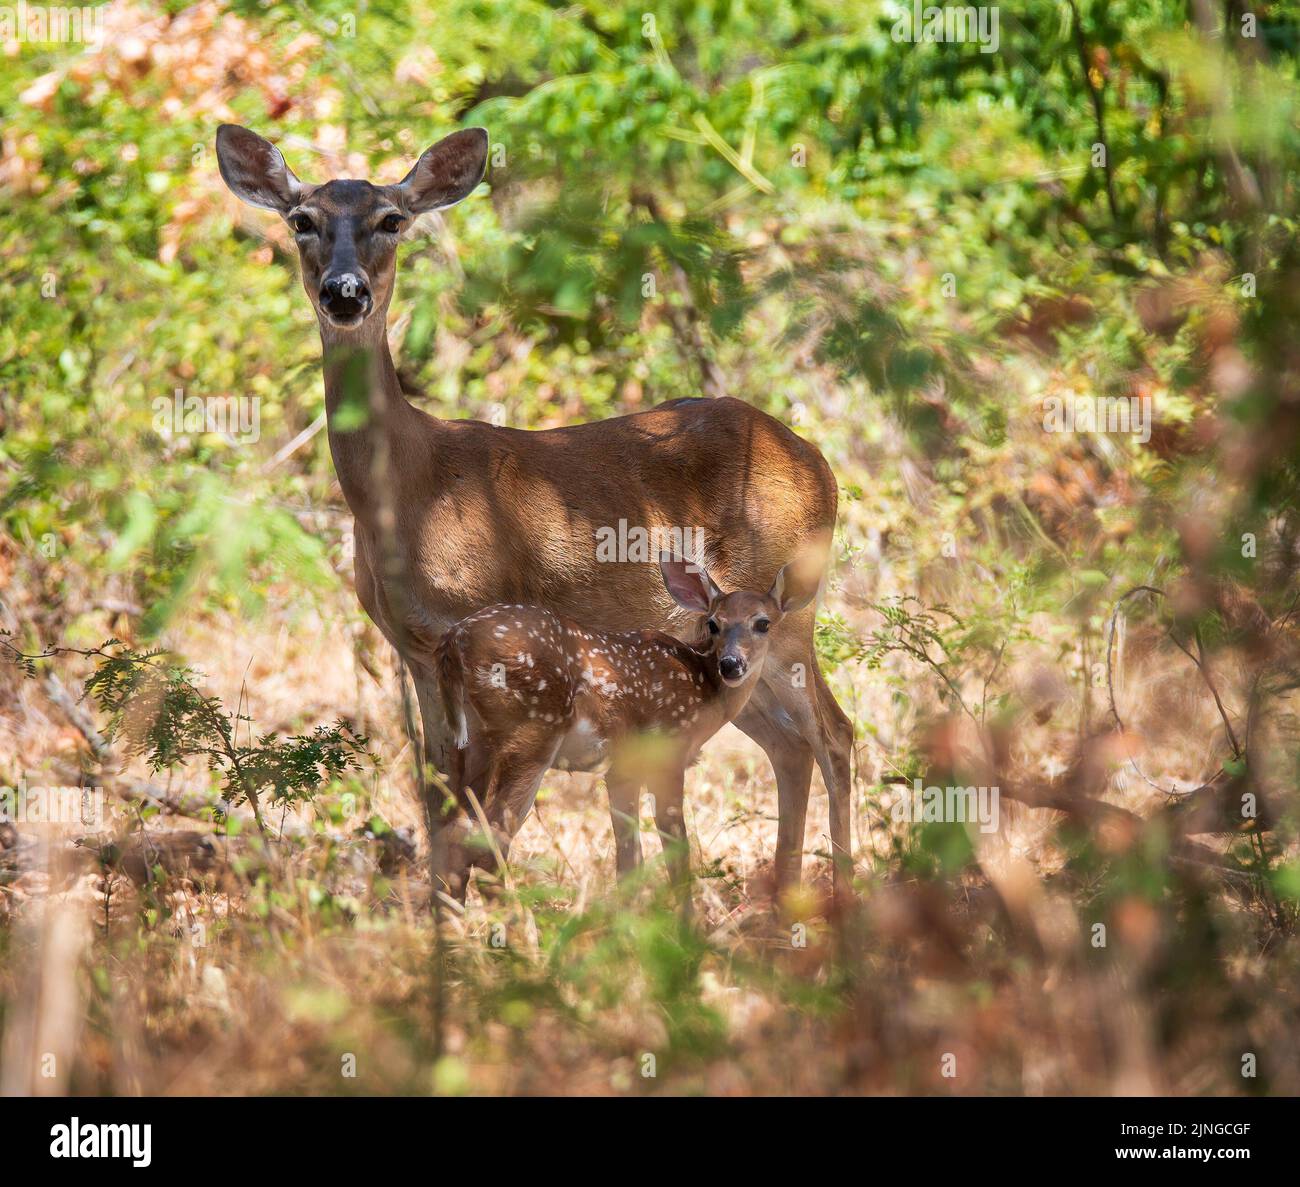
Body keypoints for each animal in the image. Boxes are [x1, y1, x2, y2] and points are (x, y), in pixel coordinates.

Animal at [218, 122, 857, 899]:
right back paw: (782, 901)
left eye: (391, 220)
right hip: (734, 644)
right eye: (301, 220)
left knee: (834, 733)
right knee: (791, 745)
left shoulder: (476, 622)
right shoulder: (417, 652)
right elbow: (437, 799)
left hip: (786, 613)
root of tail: (820, 463)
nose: (345, 292)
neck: (410, 492)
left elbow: (470, 810)